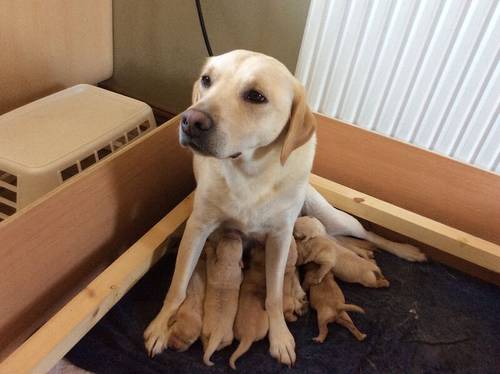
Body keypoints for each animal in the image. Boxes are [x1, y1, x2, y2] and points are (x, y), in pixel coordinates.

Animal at [202, 234, 243, 366]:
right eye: (228, 235)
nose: (232, 232)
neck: (227, 264)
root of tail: (217, 333)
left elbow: (210, 259)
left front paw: (209, 248)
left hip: (214, 333)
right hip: (222, 334)